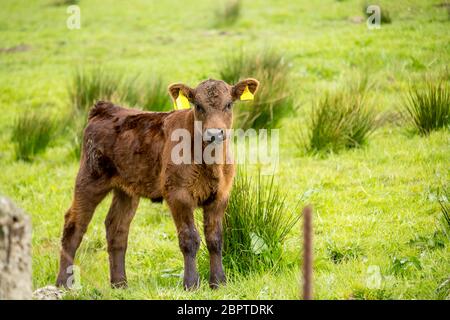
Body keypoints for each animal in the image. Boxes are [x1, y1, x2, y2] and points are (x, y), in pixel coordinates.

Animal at [56, 78, 260, 290]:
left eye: (228, 104)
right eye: (198, 105)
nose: (214, 133)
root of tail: (106, 109)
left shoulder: (220, 196)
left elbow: (215, 239)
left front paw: (219, 282)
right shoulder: (178, 195)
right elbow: (189, 238)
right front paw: (191, 283)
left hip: (126, 189)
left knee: (116, 227)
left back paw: (120, 283)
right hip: (89, 179)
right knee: (74, 226)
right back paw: (64, 283)